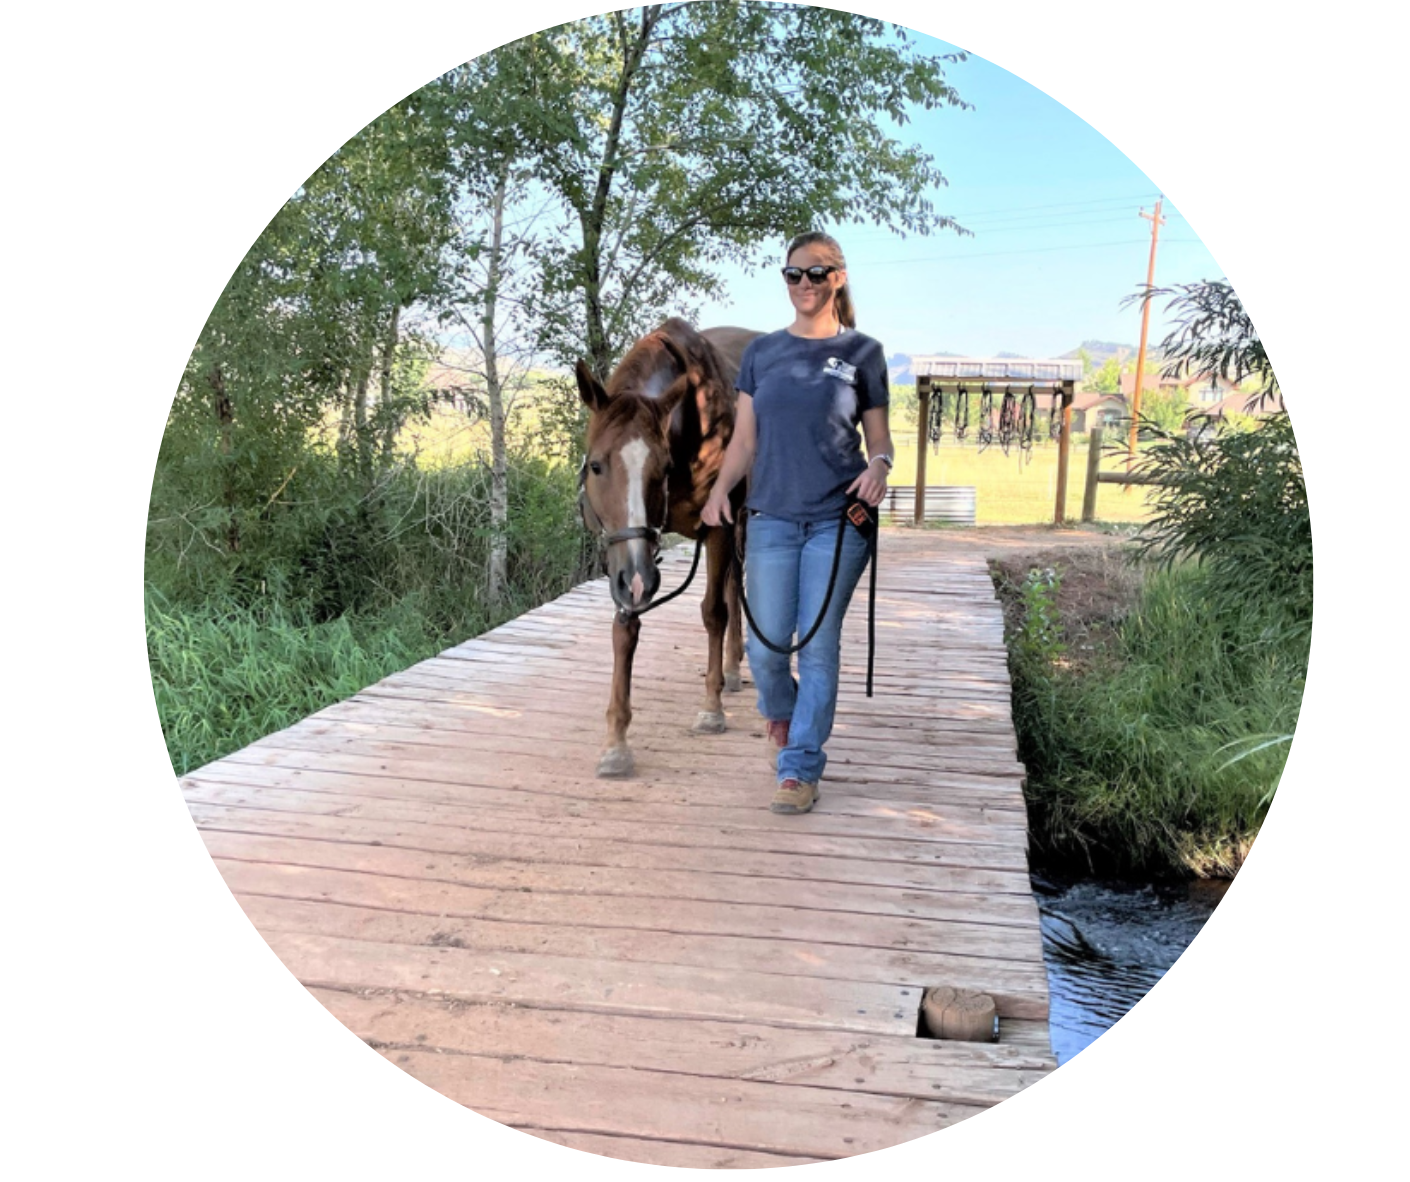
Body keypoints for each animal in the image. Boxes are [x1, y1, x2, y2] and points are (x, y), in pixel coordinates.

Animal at [575, 317, 761, 778]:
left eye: (662, 468)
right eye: (596, 465)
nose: (637, 579)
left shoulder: (718, 528)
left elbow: (714, 613)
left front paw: (711, 709)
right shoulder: (628, 557)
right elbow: (625, 629)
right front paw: (616, 741)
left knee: (735, 591)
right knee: (734, 586)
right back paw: (732, 668)